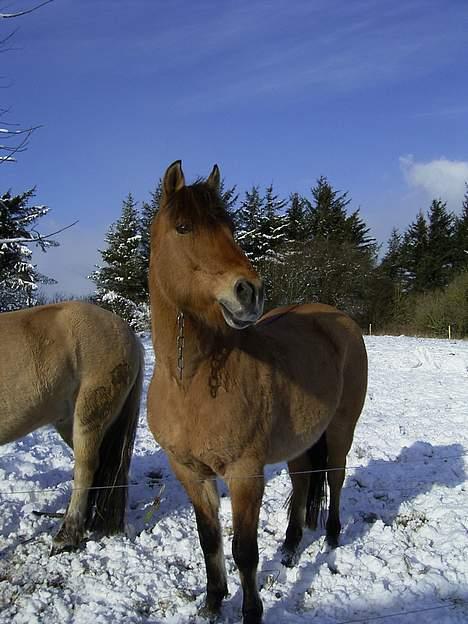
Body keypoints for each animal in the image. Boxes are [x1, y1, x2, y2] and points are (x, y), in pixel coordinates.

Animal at [148, 162, 368, 624]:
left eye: (229, 227)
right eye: (183, 227)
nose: (249, 291)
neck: (192, 380)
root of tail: (338, 318)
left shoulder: (245, 473)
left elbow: (244, 551)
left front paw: (251, 611)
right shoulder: (190, 472)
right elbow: (210, 540)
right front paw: (213, 602)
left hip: (341, 428)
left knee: (335, 476)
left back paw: (332, 537)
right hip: (300, 440)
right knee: (303, 481)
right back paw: (290, 547)